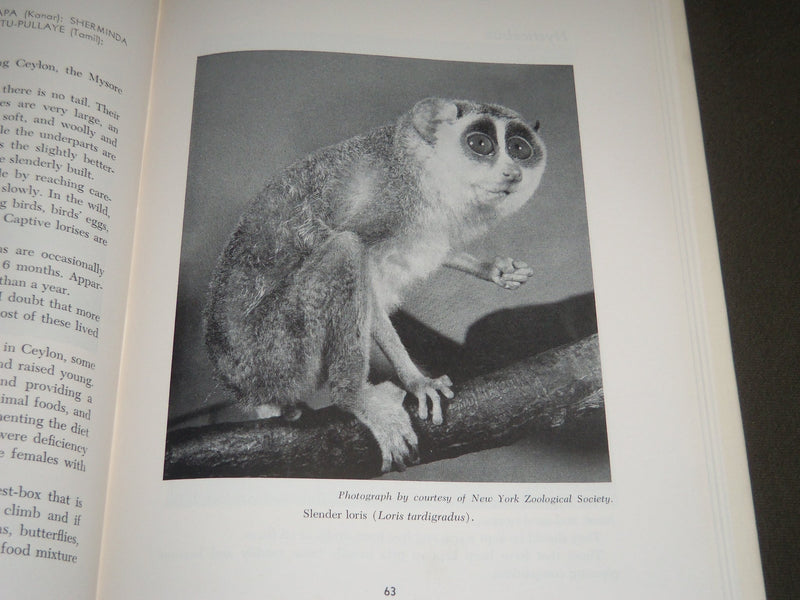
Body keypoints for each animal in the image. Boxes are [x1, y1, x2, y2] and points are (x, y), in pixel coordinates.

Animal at [205, 97, 546, 472]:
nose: (512, 173)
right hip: (275, 357)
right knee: (345, 250)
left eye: (520, 148)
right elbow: (368, 284)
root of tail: (238, 385)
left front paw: (494, 269)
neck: (426, 172)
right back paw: (354, 398)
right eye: (481, 144)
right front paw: (416, 381)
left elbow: (441, 250)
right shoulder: (389, 206)